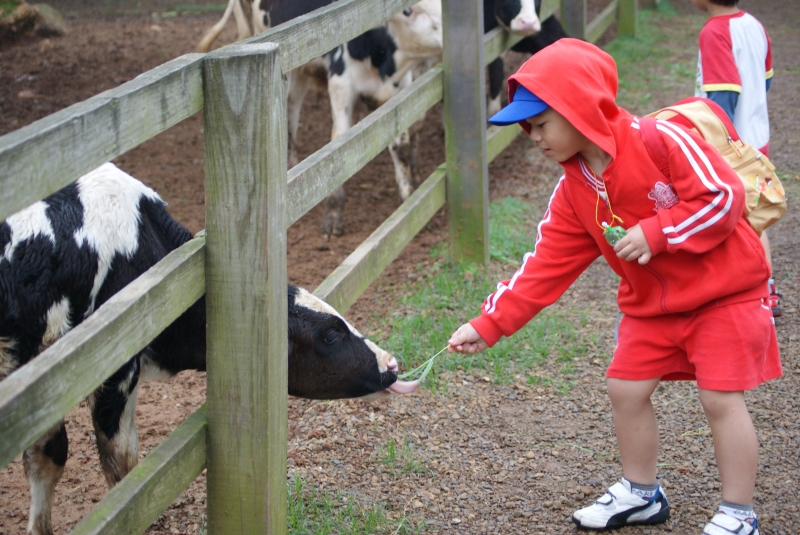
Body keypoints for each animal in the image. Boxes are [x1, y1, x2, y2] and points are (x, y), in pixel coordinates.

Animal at [196, 0, 440, 237]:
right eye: (411, 11)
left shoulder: (402, 88)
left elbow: (400, 143)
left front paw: (408, 196)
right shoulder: (341, 83)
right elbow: (339, 144)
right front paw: (332, 214)